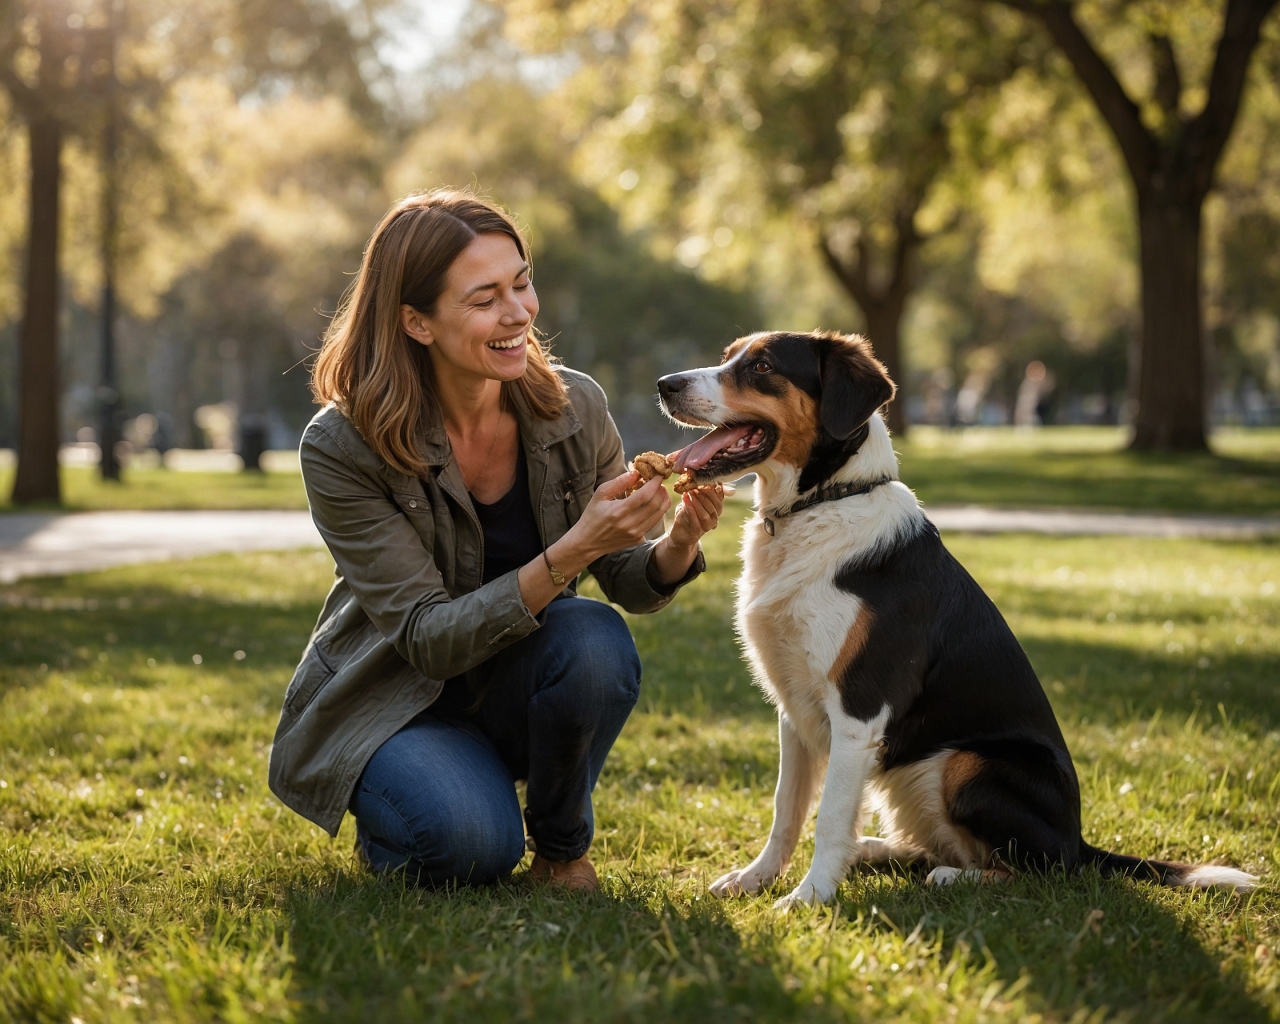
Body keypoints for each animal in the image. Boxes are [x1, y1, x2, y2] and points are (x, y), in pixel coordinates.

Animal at [660, 332, 1259, 906]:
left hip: (966, 764)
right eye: (729, 356)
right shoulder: (794, 709)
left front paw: (809, 898)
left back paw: (949, 876)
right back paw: (875, 850)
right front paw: (756, 879)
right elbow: (786, 810)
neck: (824, 501)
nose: (665, 384)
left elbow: (828, 817)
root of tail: (1081, 839)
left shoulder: (858, 709)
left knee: (1041, 868)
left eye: (761, 367)